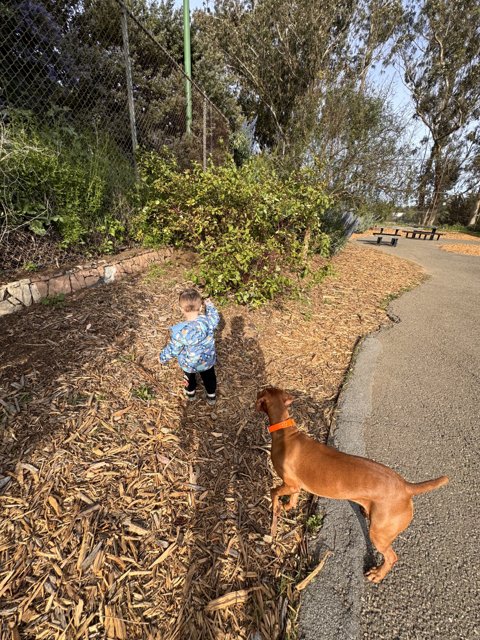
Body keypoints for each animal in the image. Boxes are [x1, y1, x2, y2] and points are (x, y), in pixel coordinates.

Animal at [256, 388, 448, 584]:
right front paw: (287, 506)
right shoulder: (295, 487)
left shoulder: (290, 484)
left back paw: (377, 575)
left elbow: (273, 492)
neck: (285, 432)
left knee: (391, 557)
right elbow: (293, 499)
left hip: (379, 533)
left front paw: (276, 509)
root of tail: (406, 486)